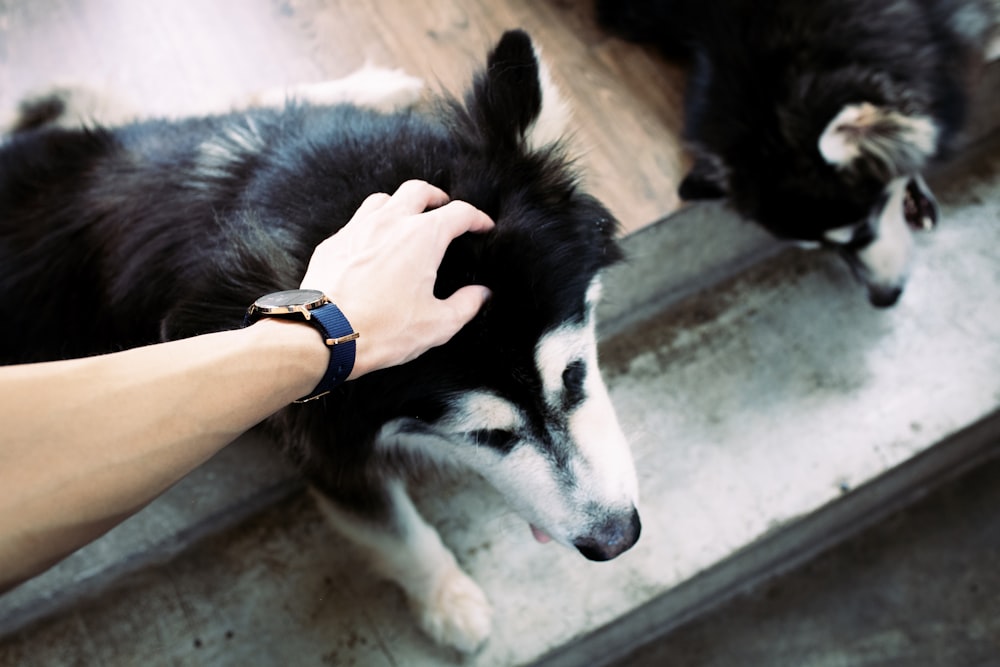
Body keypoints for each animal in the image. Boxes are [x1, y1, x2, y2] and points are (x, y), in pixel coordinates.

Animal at [0, 30, 640, 652]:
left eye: (574, 376)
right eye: (482, 435)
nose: (618, 539)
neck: (241, 187)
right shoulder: (320, 436)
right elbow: (392, 528)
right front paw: (447, 599)